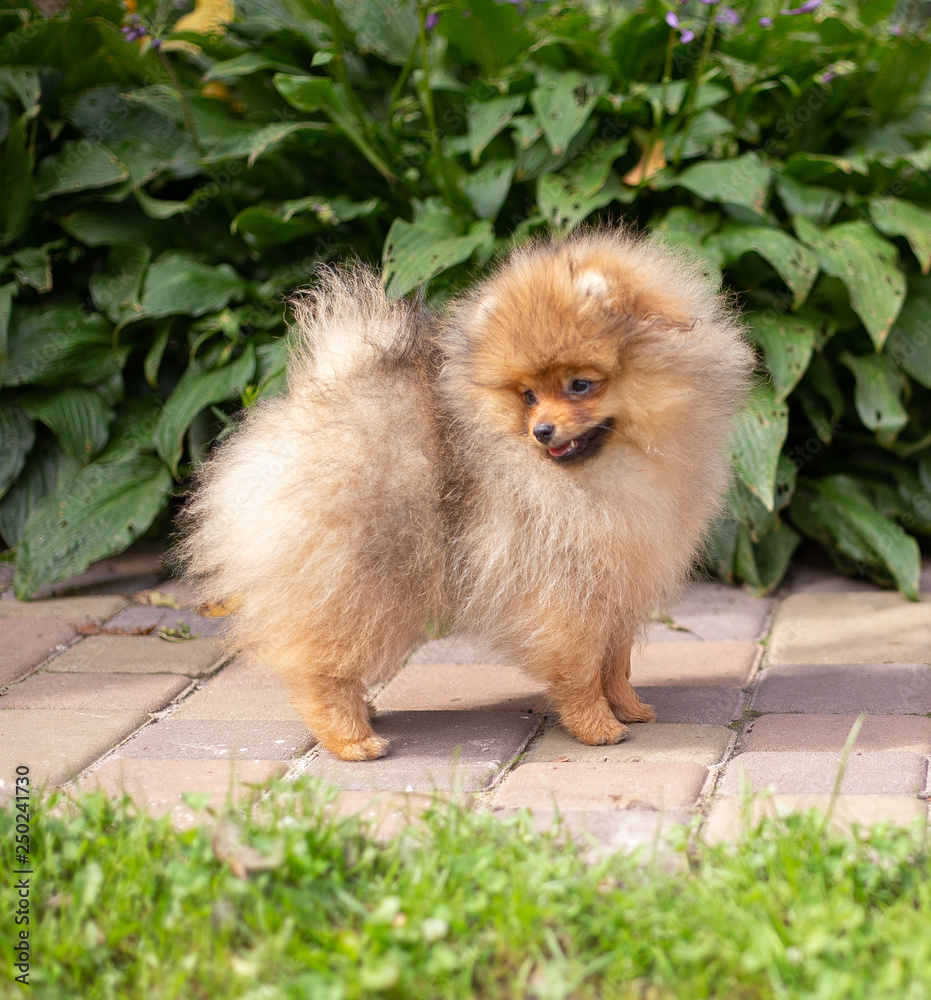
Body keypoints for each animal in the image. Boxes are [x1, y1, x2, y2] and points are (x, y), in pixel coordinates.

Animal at [180, 230, 748, 760]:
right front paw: (597, 726)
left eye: (580, 385)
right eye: (528, 395)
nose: (542, 430)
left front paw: (628, 708)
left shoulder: (620, 577)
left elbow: (616, 661)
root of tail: (313, 399)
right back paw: (352, 739)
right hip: (350, 575)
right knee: (322, 664)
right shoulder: (563, 589)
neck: (614, 465)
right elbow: (582, 667)